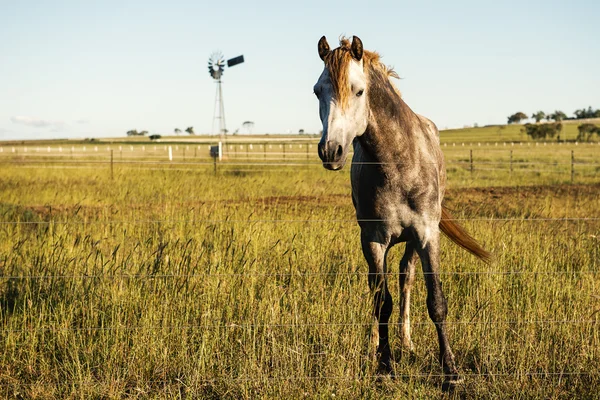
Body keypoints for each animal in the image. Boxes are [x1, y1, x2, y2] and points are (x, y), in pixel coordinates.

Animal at [312, 35, 490, 390]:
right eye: (317, 91)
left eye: (358, 91)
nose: (330, 150)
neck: (397, 162)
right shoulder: (373, 241)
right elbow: (382, 303)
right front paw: (384, 366)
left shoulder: (426, 235)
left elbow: (436, 302)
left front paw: (450, 373)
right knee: (376, 290)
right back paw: (374, 347)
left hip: (411, 242)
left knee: (406, 277)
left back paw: (407, 343)